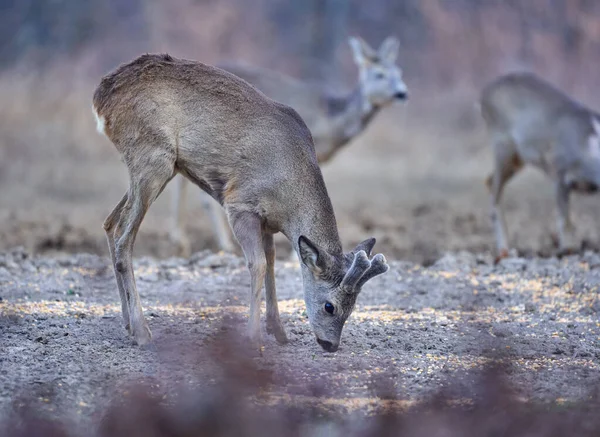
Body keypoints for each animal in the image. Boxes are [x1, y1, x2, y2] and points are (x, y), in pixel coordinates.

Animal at [91, 52, 386, 350]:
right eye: (330, 306)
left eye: (354, 307)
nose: (330, 345)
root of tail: (101, 96)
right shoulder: (240, 204)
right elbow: (258, 265)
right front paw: (252, 337)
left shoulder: (267, 221)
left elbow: (271, 264)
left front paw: (279, 331)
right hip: (151, 156)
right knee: (124, 237)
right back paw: (142, 331)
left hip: (155, 167)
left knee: (110, 223)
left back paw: (127, 324)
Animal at [168, 37, 408, 258]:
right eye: (379, 74)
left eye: (399, 72)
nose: (402, 93)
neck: (332, 120)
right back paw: (215, 244)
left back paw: (184, 241)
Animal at [480, 72, 600, 258]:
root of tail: (483, 94)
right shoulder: (560, 172)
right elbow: (564, 220)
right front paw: (567, 250)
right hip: (502, 143)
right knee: (495, 191)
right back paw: (504, 250)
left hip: (518, 159)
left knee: (489, 180)